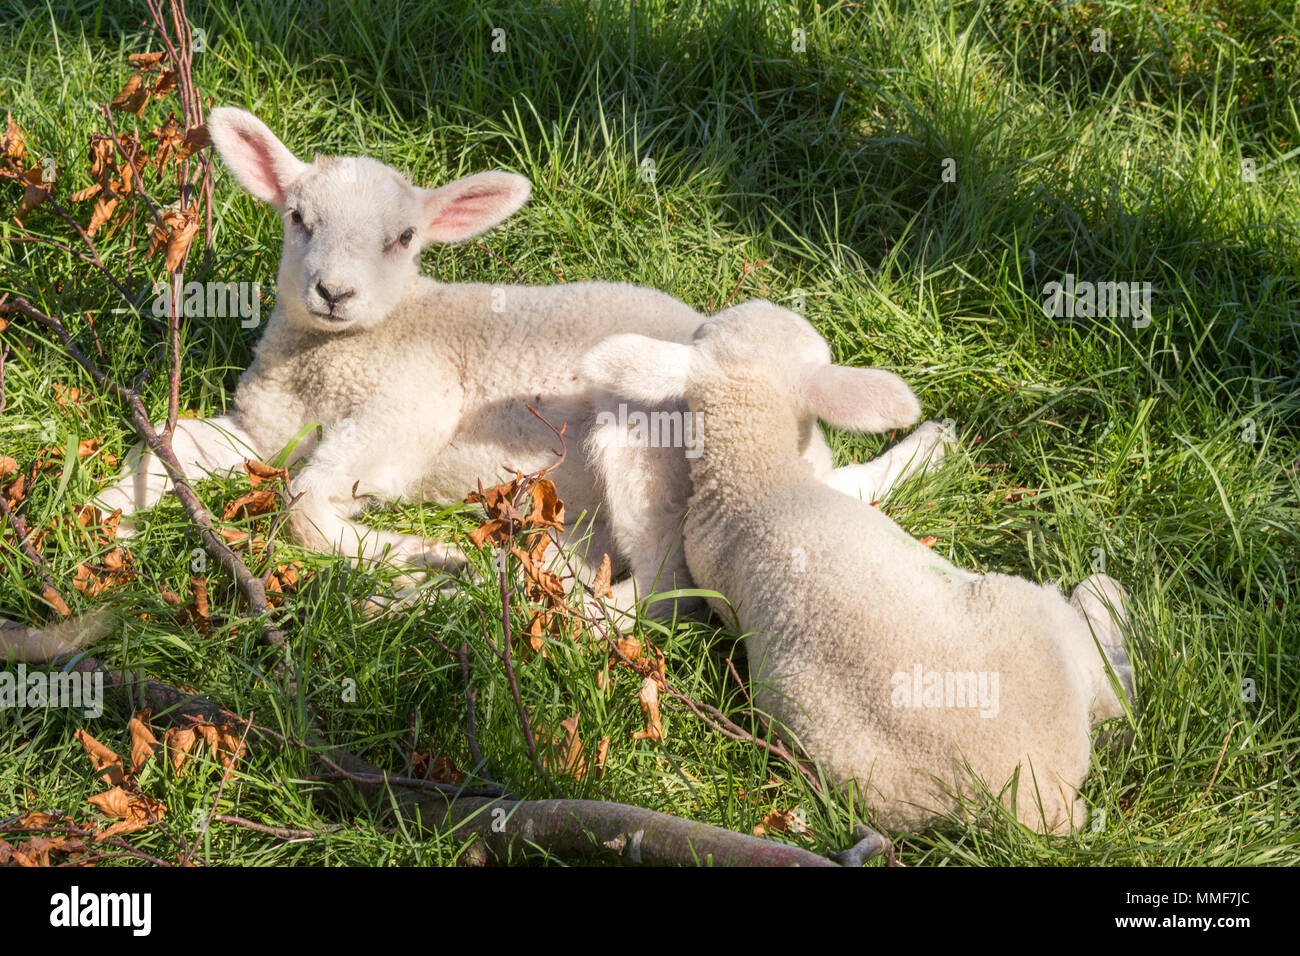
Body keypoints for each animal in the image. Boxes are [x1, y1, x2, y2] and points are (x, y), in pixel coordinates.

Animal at [83, 108, 946, 637]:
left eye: (404, 237)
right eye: (298, 218)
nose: (333, 291)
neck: (336, 356)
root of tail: (809, 453)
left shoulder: (408, 411)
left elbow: (303, 504)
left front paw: (416, 554)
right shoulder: (264, 424)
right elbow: (171, 445)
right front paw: (103, 521)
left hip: (647, 442)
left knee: (664, 591)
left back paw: (477, 594)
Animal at [578, 299, 1136, 833]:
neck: (753, 479)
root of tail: (1043, 800)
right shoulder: (843, 487)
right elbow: (879, 473)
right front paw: (935, 442)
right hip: (1031, 612)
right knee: (1117, 700)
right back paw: (1104, 593)